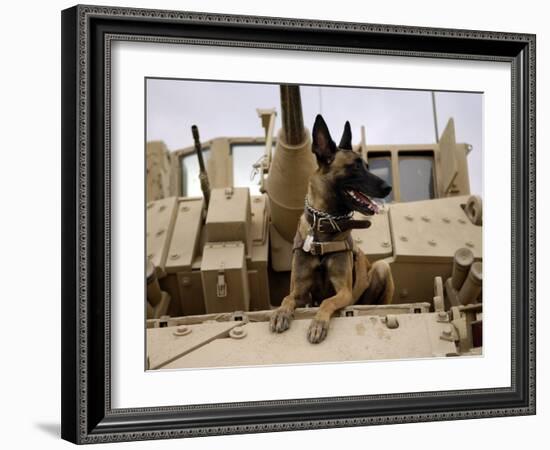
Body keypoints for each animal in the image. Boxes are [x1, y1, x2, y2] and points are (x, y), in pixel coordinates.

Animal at [270, 114, 394, 342]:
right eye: (355, 167)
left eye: (366, 165)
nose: (388, 187)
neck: (324, 226)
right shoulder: (300, 292)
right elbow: (287, 298)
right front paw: (281, 313)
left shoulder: (343, 292)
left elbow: (328, 301)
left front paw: (318, 323)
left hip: (382, 268)